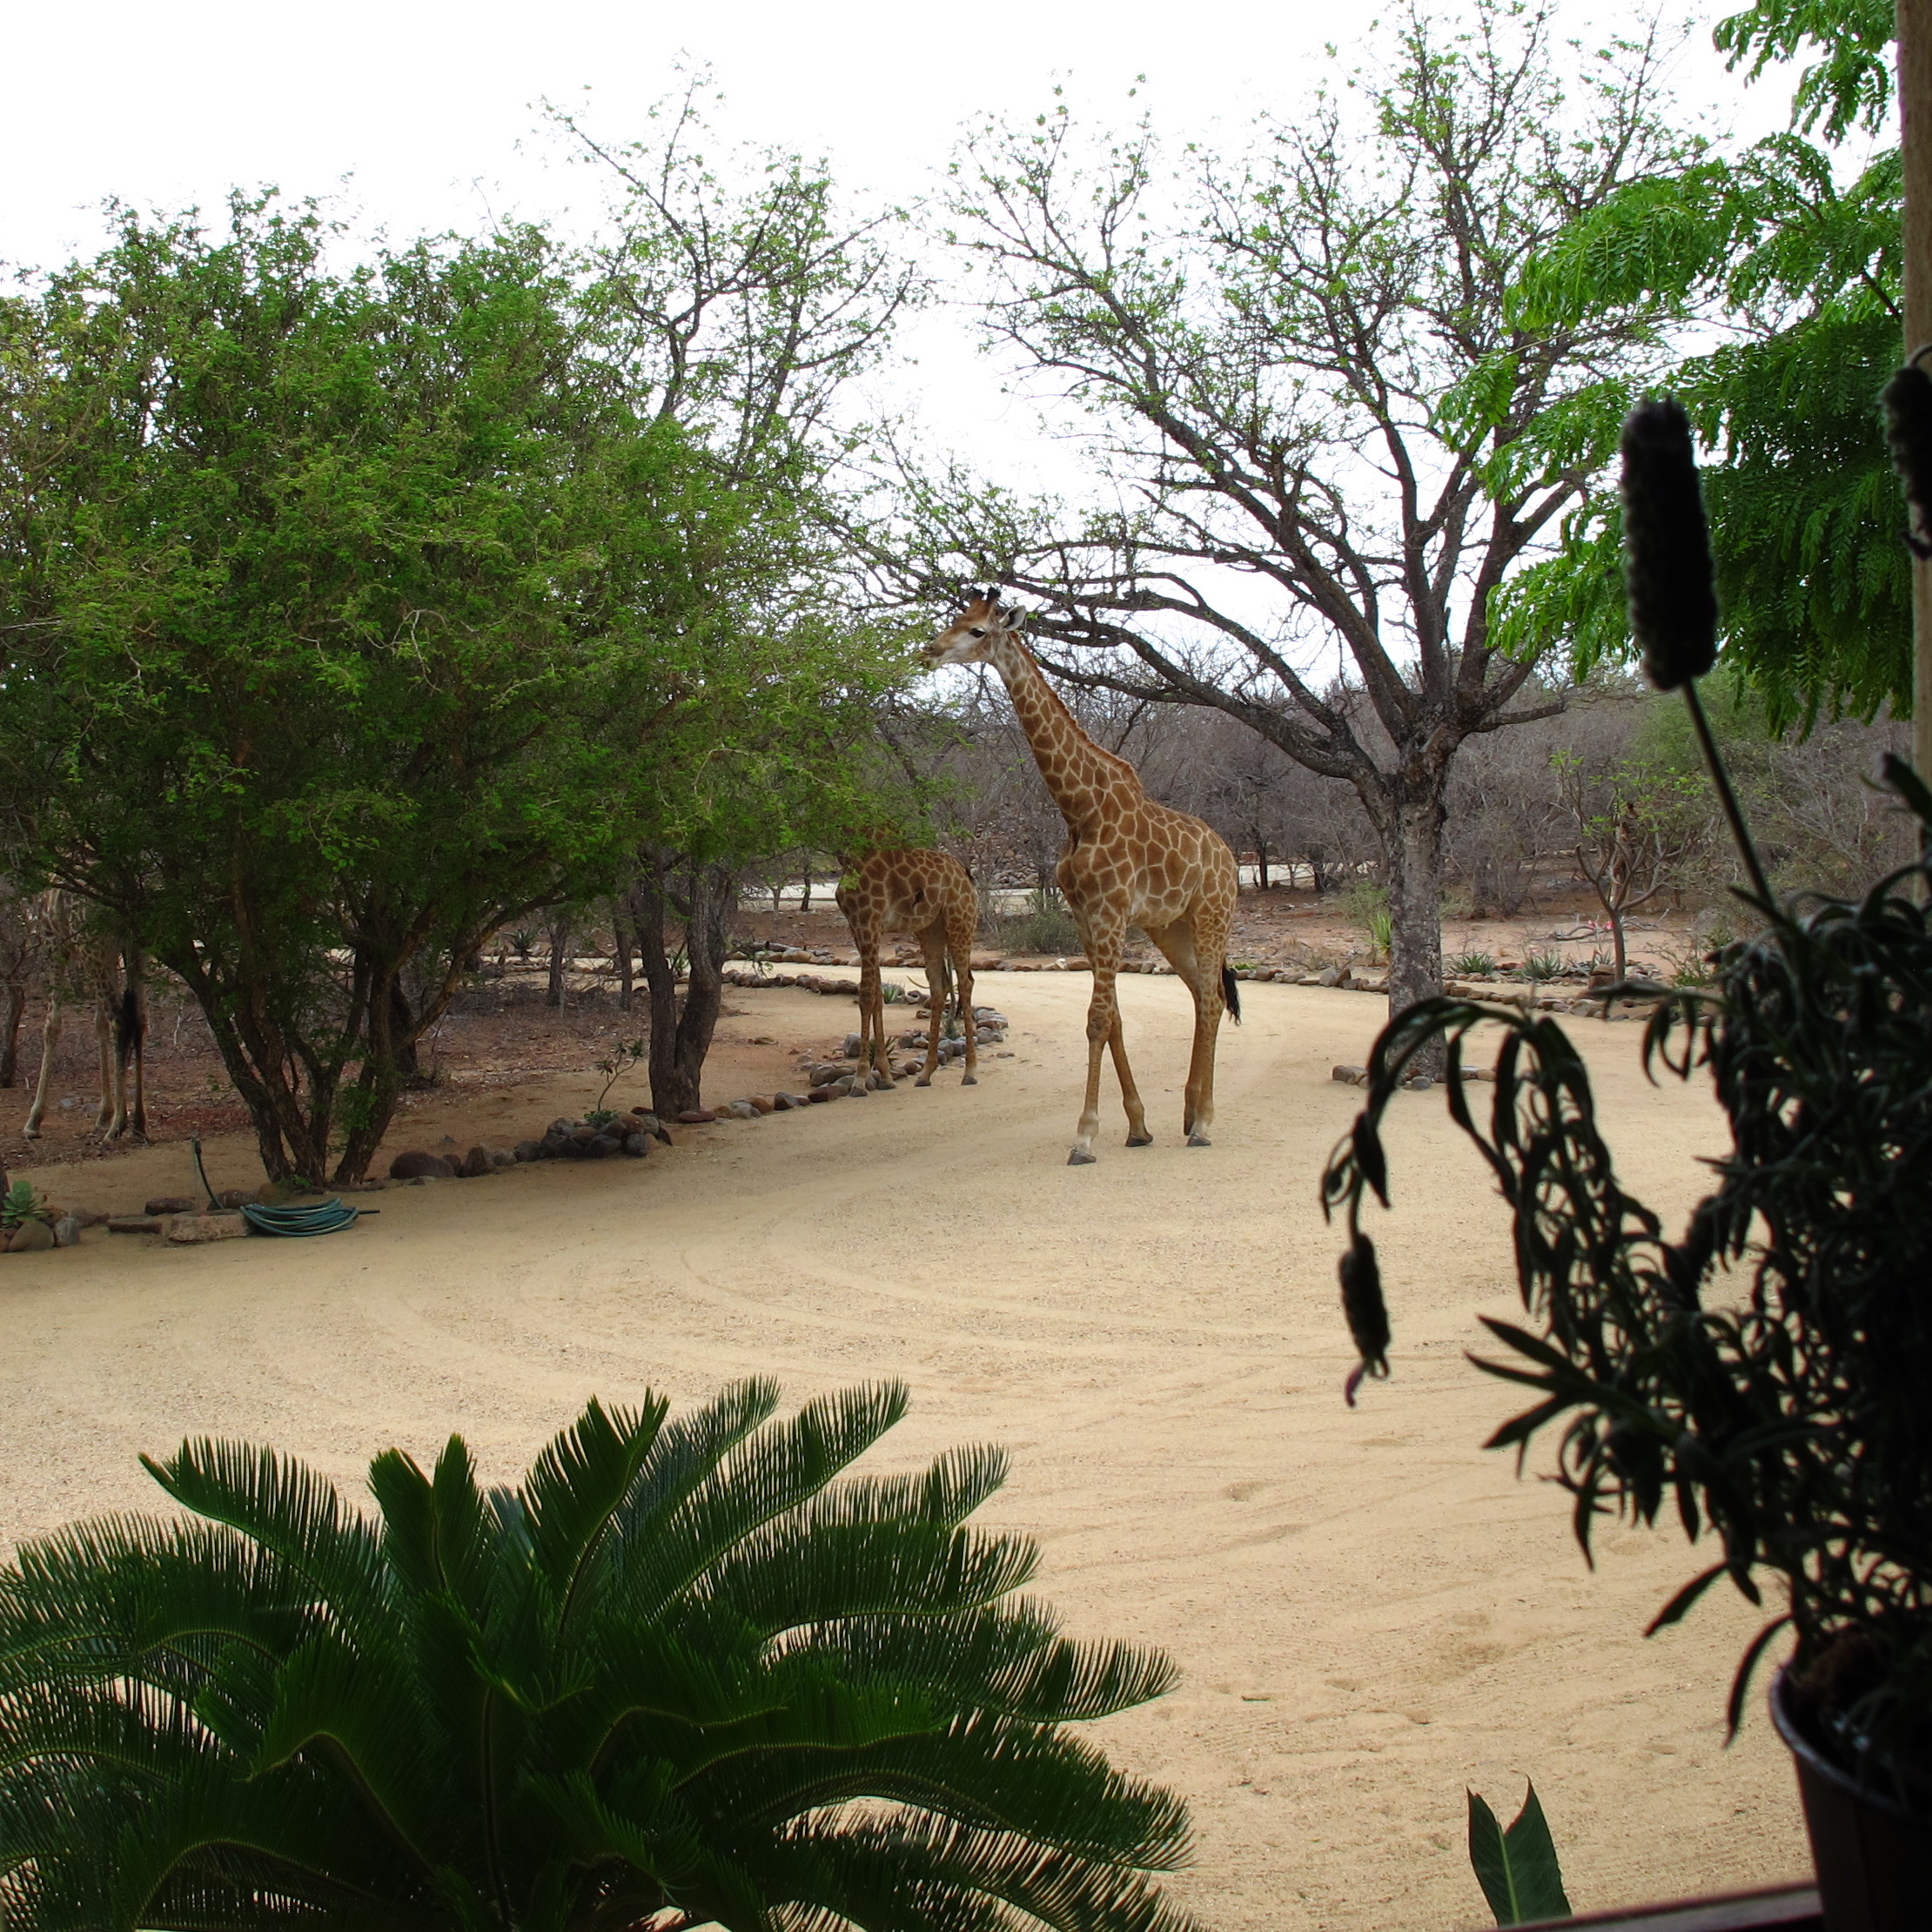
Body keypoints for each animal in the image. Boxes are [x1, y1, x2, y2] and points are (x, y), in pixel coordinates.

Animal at [835, 854, 981, 1097]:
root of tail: (966, 875)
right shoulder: (859, 927)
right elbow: (877, 995)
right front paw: (885, 1076)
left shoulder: (868, 923)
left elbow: (867, 996)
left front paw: (860, 1080)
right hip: (930, 928)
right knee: (939, 985)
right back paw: (925, 1074)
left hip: (959, 922)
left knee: (965, 982)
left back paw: (970, 1072)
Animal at [931, 587, 1236, 1159]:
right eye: (954, 618)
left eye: (978, 630)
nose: (930, 651)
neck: (1080, 809)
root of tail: (1229, 856)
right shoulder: (1086, 916)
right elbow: (1111, 1017)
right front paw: (1138, 1126)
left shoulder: (1111, 912)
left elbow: (1097, 1020)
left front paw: (1085, 1135)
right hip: (1171, 927)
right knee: (1205, 996)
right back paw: (1189, 1114)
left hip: (1213, 916)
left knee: (1212, 997)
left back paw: (1206, 1123)